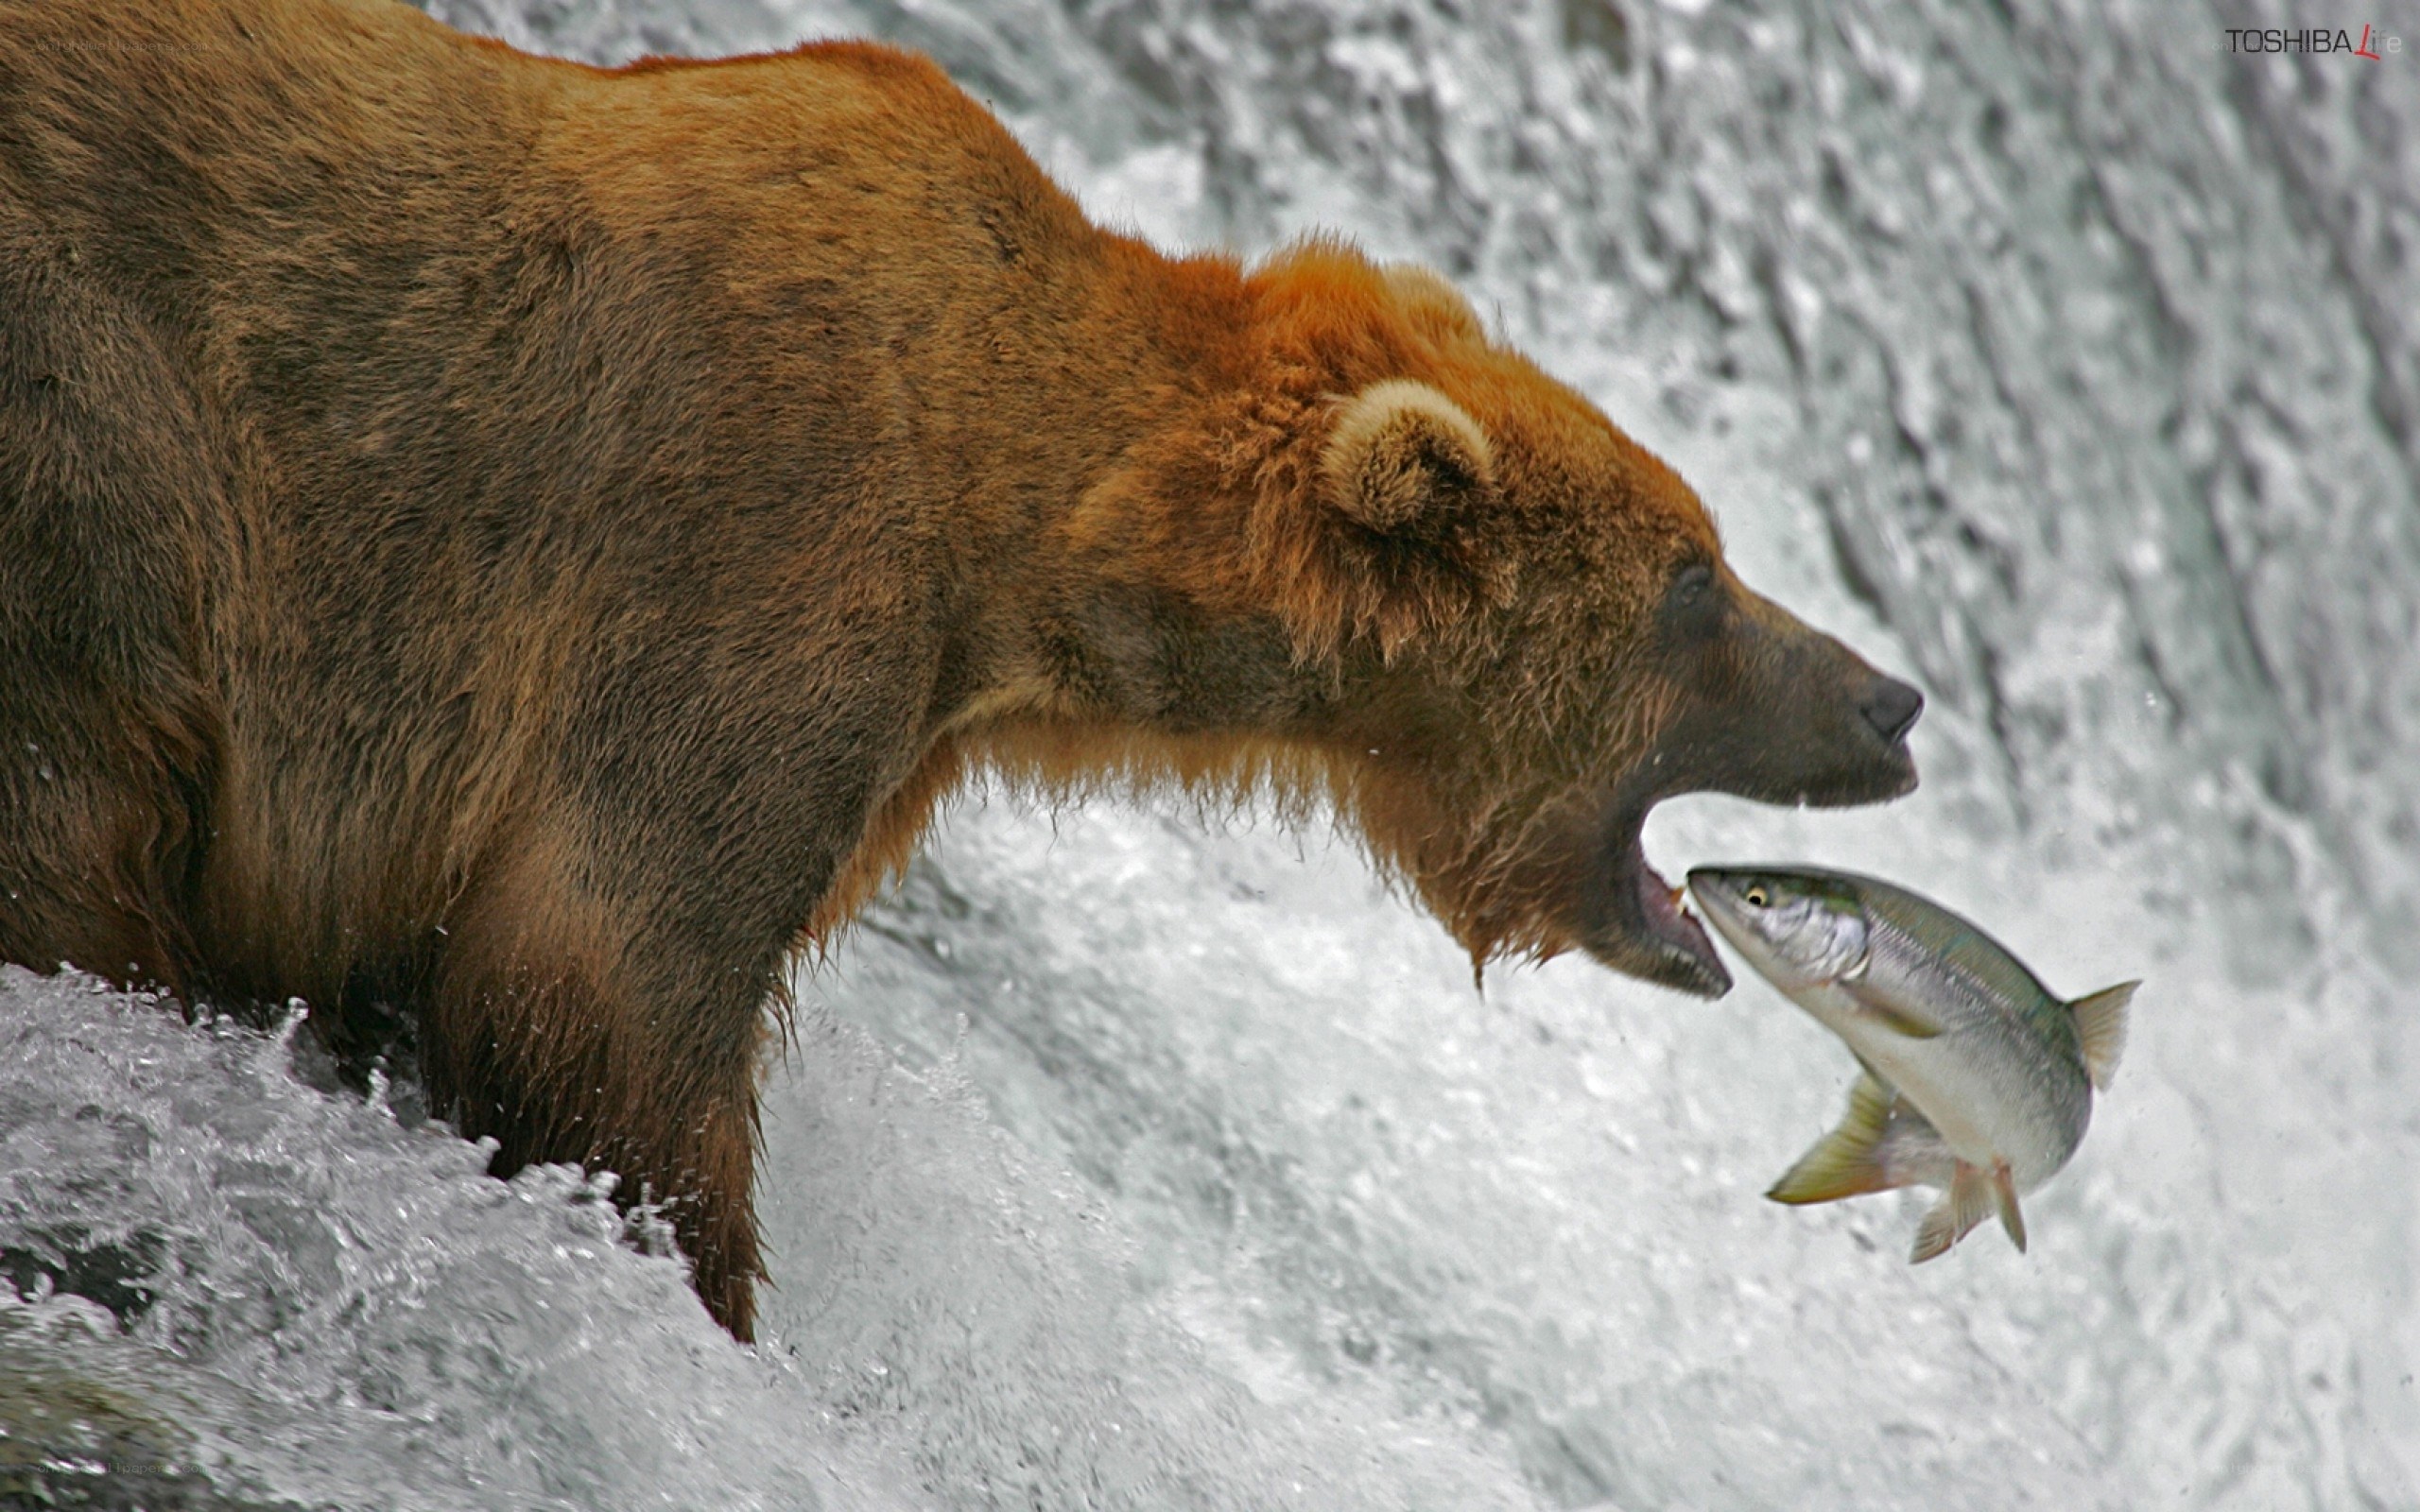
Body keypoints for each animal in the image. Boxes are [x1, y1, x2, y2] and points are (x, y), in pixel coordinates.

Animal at [0, 0, 1921, 1342]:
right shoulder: (742, 556)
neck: (1012, 525)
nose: (1892, 699)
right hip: (101, 442)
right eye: (1697, 581)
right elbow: (600, 981)